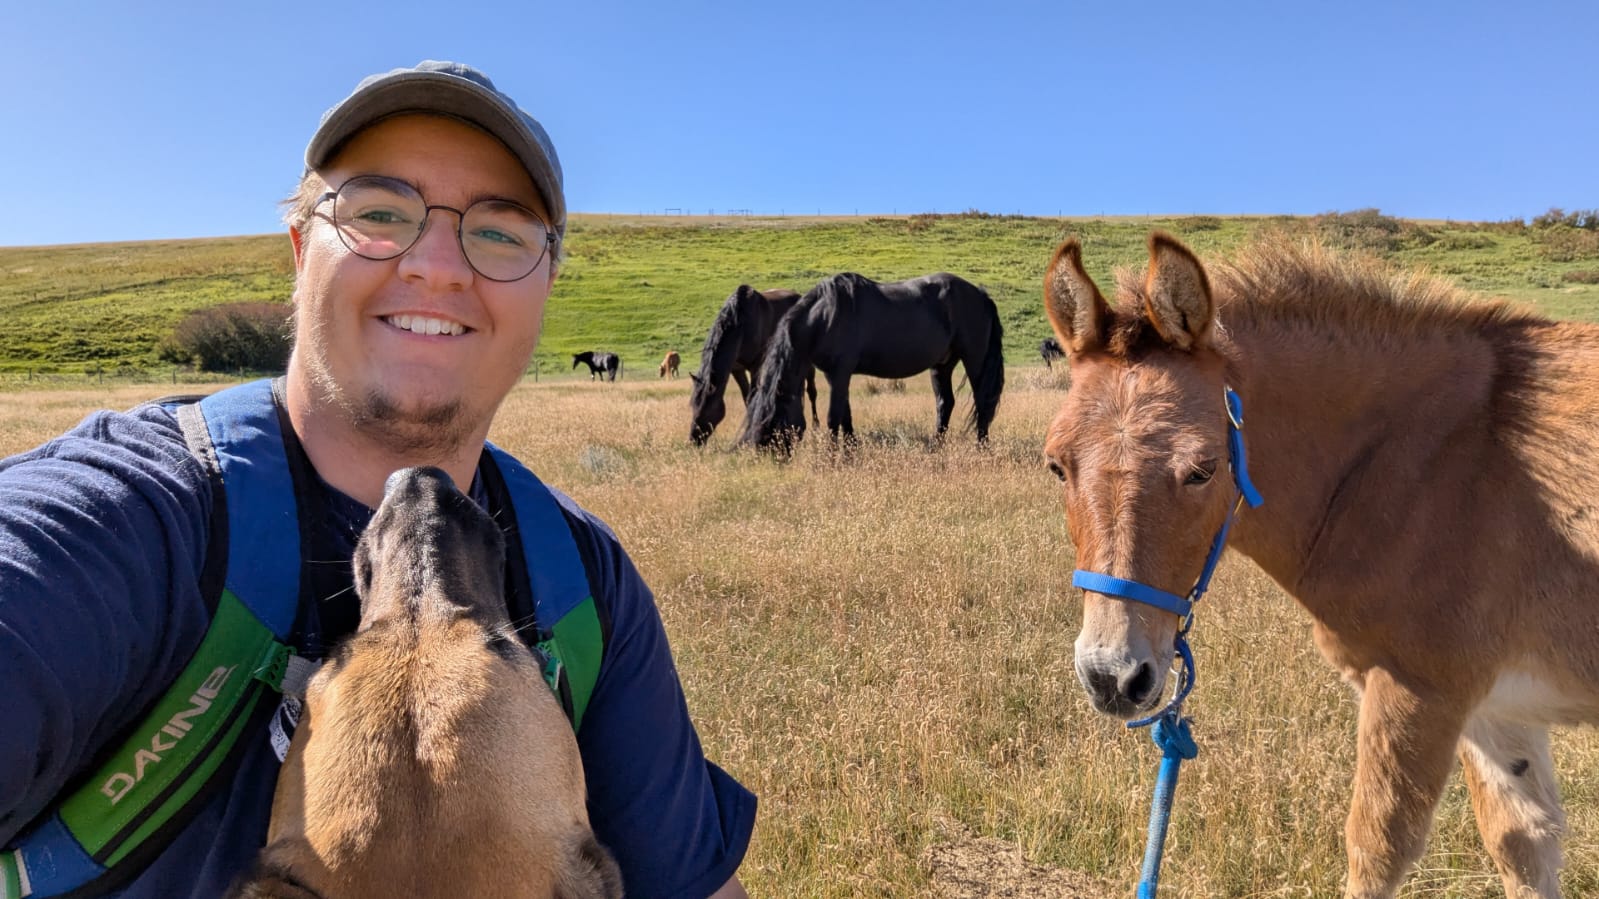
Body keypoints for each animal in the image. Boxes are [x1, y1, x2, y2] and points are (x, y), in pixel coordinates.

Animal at [687, 285, 820, 445]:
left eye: (706, 409)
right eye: (693, 406)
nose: (694, 439)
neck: (741, 325)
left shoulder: (755, 367)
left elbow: (751, 398)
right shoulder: (737, 369)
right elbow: (746, 398)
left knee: (811, 391)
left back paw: (815, 429)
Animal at [739, 272, 1005, 451]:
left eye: (770, 420)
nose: (770, 456)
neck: (826, 315)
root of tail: (980, 295)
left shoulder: (839, 372)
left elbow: (833, 417)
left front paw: (831, 457)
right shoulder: (835, 375)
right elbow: (845, 415)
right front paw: (850, 451)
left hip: (975, 360)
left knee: (982, 402)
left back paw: (981, 448)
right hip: (942, 365)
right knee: (944, 403)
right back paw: (936, 447)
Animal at [1041, 231, 1599, 898]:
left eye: (1202, 470)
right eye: (1057, 465)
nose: (1112, 676)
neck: (1426, 461)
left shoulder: (1418, 692)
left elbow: (1377, 851)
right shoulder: (1496, 710)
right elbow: (1523, 844)